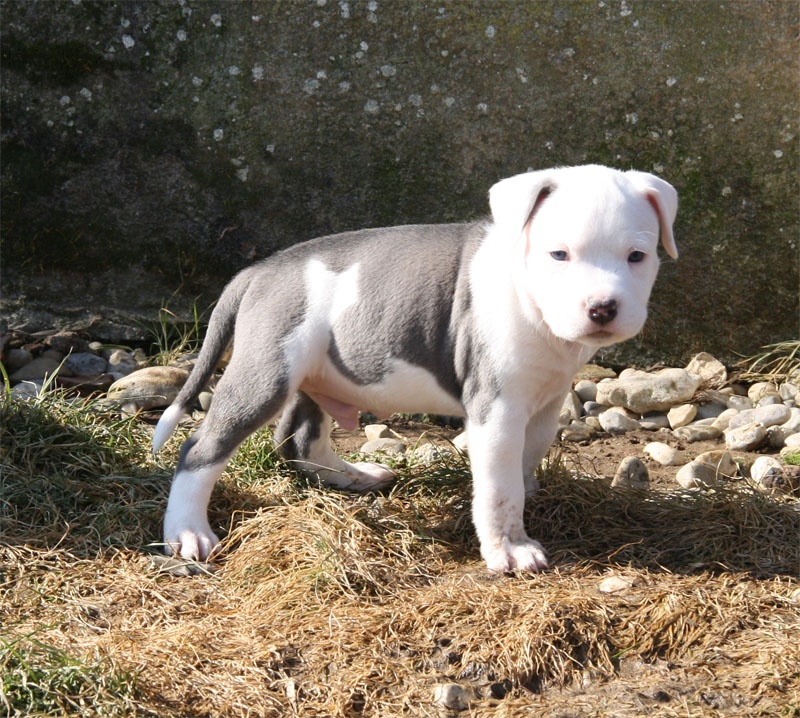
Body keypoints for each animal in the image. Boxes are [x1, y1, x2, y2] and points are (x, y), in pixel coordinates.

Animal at [152, 164, 678, 573]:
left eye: (637, 256)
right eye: (559, 254)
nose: (602, 308)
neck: (527, 297)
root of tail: (256, 272)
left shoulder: (544, 403)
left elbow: (522, 465)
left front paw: (529, 503)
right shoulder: (497, 409)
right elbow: (499, 485)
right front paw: (510, 549)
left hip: (312, 374)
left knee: (298, 439)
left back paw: (353, 476)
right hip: (266, 373)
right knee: (201, 448)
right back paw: (188, 532)